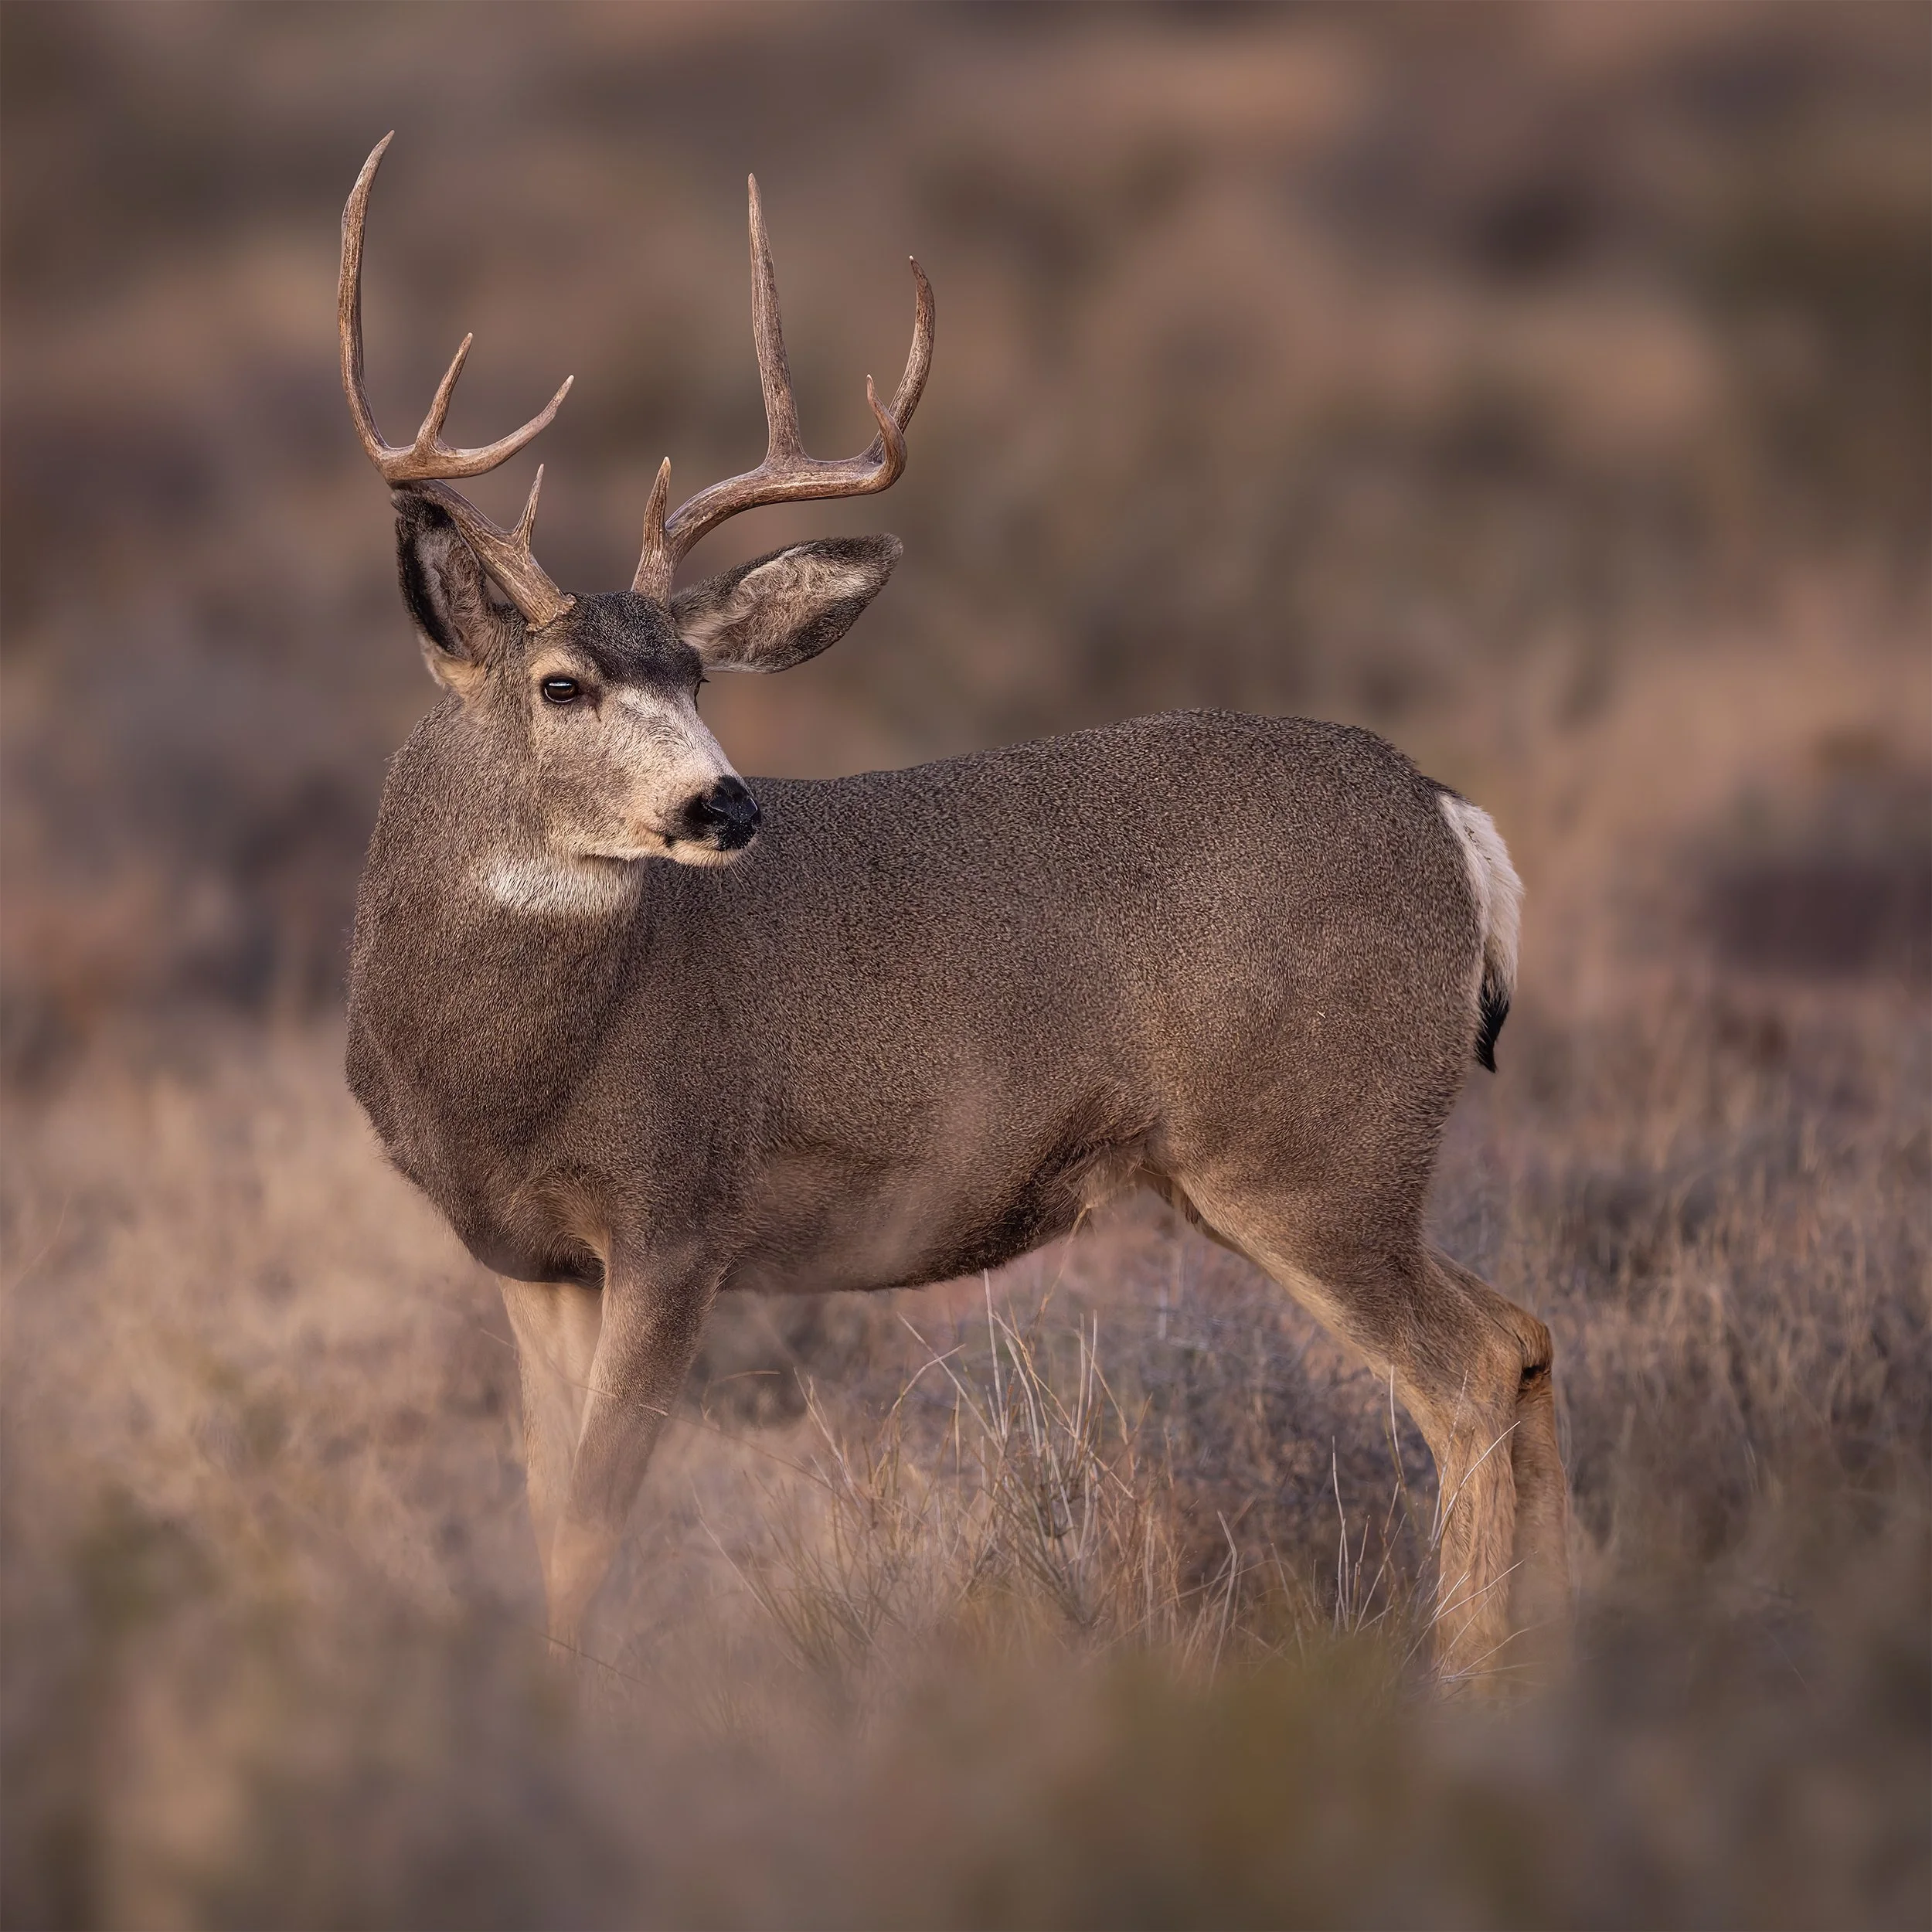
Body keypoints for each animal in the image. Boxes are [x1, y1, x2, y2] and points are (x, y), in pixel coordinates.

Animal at [337, 135, 1570, 1687]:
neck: (501, 1075)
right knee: (1524, 1333)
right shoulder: (533, 1260)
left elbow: (592, 1526)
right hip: (1305, 1167)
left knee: (1466, 1376)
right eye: (564, 684)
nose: (726, 807)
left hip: (1314, 1149)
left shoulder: (681, 1214)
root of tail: (1448, 816)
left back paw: (1468, 1682)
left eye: (696, 675)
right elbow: (546, 1500)